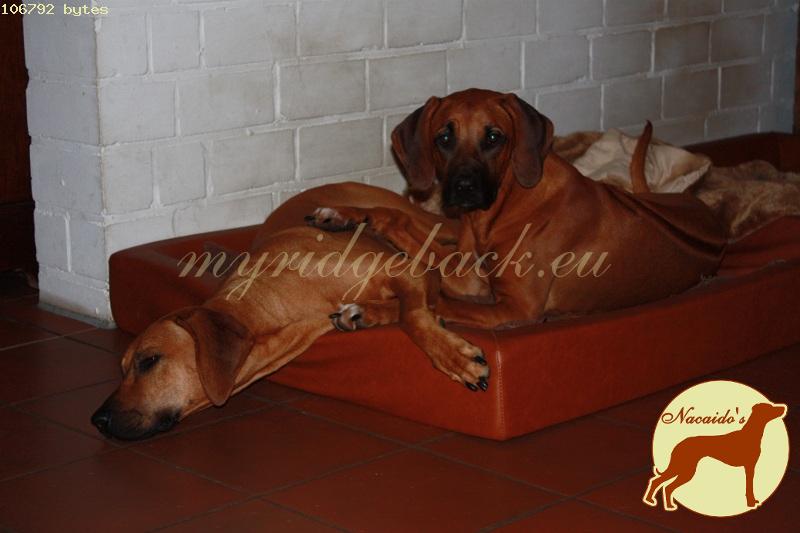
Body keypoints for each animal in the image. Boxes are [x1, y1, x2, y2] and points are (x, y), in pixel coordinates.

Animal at [91, 183, 490, 440]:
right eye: (122, 368)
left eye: (149, 361)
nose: (98, 419)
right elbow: (413, 309)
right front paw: (367, 313)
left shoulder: (409, 272)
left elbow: (414, 315)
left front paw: (455, 358)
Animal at [307, 89, 727, 328]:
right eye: (444, 137)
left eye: (494, 137)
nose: (463, 189)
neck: (501, 209)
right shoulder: (471, 277)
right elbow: (397, 221)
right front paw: (344, 214)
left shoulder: (514, 308)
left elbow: (433, 300)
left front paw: (376, 309)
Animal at [643, 402, 787, 510]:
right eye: (770, 407)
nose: (784, 408)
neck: (750, 435)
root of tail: (679, 444)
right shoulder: (749, 466)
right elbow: (749, 487)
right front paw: (751, 503)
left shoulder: (749, 467)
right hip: (685, 469)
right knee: (663, 484)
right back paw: (660, 503)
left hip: (682, 468)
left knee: (661, 483)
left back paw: (655, 501)